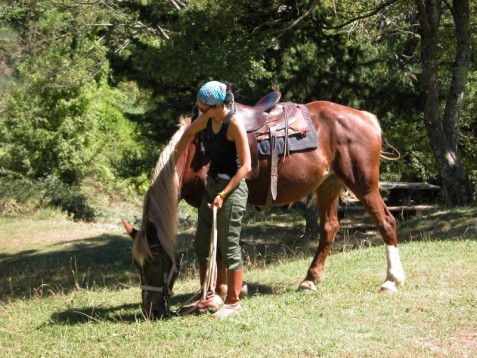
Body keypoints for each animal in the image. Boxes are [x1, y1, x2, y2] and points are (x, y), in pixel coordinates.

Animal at [123, 94, 406, 318]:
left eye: (155, 261)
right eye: (136, 264)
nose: (150, 310)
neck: (195, 153)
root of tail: (365, 117)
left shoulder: (214, 200)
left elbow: (218, 247)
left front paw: (220, 292)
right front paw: (221, 290)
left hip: (363, 184)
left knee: (386, 222)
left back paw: (391, 280)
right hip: (329, 185)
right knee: (329, 228)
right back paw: (310, 280)